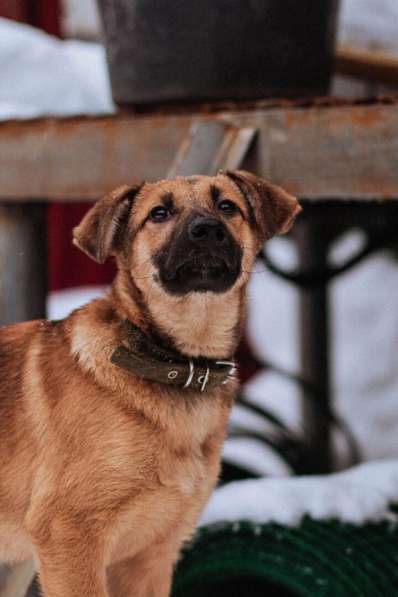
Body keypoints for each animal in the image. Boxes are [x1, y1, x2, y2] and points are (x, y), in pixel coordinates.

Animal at [0, 170, 298, 592]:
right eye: (159, 213)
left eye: (227, 206)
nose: (207, 231)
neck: (179, 364)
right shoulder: (69, 535)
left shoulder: (149, 557)